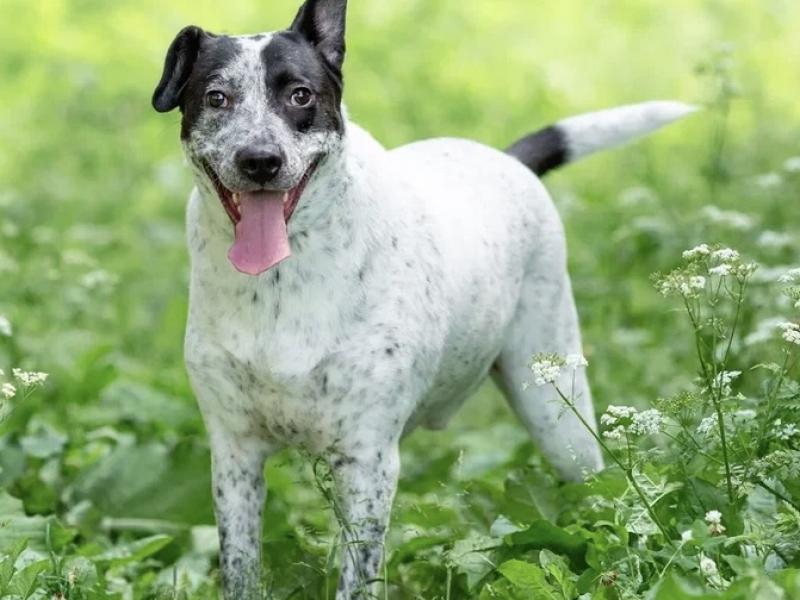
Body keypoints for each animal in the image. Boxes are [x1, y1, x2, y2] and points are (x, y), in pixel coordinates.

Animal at [153, 0, 696, 596]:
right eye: (216, 98)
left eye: (300, 95)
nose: (260, 160)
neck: (278, 283)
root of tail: (508, 159)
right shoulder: (234, 453)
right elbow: (240, 564)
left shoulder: (367, 461)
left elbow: (358, 573)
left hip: (557, 412)